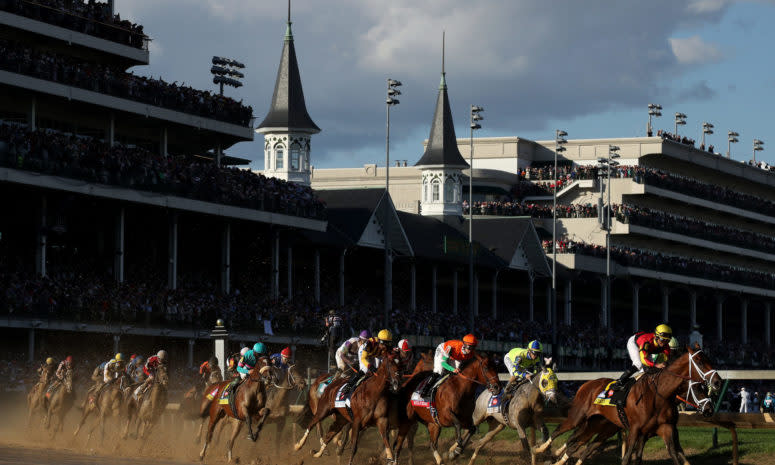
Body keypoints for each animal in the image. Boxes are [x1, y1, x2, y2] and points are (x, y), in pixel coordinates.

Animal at [540, 346, 720, 464]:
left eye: (704, 388)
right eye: (700, 362)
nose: (718, 381)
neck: (659, 396)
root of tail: (586, 384)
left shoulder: (665, 429)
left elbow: (675, 455)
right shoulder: (635, 430)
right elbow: (627, 458)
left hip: (602, 426)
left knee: (582, 445)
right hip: (578, 417)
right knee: (560, 432)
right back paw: (539, 451)